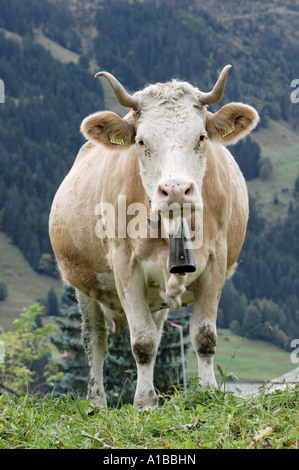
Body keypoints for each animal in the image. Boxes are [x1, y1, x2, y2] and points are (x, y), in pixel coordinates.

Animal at [49, 64, 260, 410]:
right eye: (141, 141)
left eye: (201, 137)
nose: (175, 190)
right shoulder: (125, 266)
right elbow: (143, 342)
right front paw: (146, 402)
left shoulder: (216, 261)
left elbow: (204, 336)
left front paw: (208, 391)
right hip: (83, 285)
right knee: (95, 340)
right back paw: (96, 403)